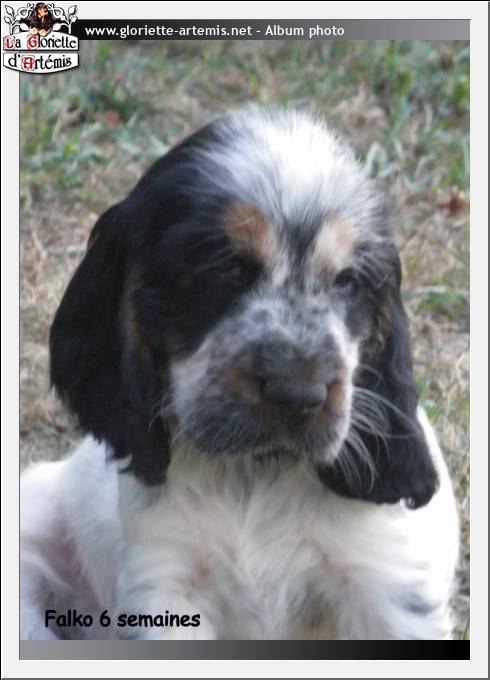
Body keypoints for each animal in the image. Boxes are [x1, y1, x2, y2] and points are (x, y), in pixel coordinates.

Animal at [20, 108, 459, 640]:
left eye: (348, 280)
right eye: (222, 265)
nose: (298, 395)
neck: (256, 474)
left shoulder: (385, 585)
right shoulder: (167, 585)